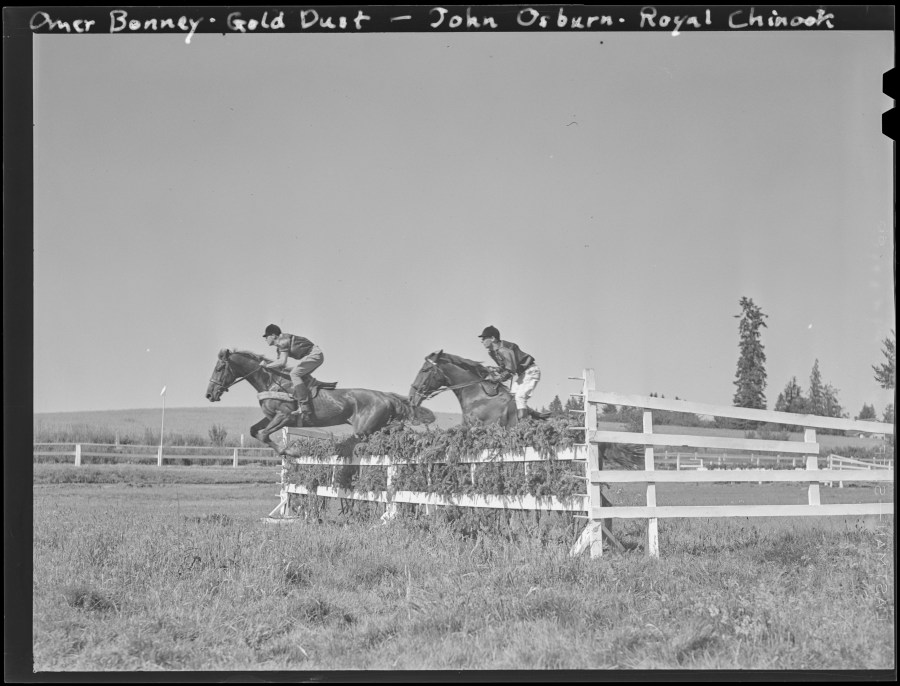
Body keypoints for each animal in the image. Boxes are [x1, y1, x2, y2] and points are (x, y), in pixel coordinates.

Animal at [206, 349, 435, 453]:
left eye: (220, 368)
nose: (209, 394)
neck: (271, 382)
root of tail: (385, 396)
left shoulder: (284, 416)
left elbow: (263, 435)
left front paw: (289, 452)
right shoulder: (272, 417)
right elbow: (256, 431)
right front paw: (286, 451)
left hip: (366, 429)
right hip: (375, 427)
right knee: (396, 431)